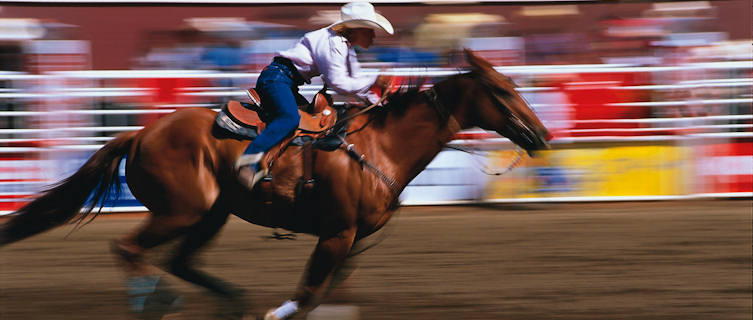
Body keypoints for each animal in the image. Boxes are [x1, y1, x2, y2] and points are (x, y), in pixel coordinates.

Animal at [2, 49, 548, 318]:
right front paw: (275, 312)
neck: (382, 146)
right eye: (502, 91)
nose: (541, 134)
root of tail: (139, 133)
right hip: (182, 211)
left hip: (211, 214)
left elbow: (323, 293)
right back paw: (157, 302)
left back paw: (226, 303)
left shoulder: (354, 241)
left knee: (180, 262)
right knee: (130, 249)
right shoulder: (337, 234)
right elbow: (306, 293)